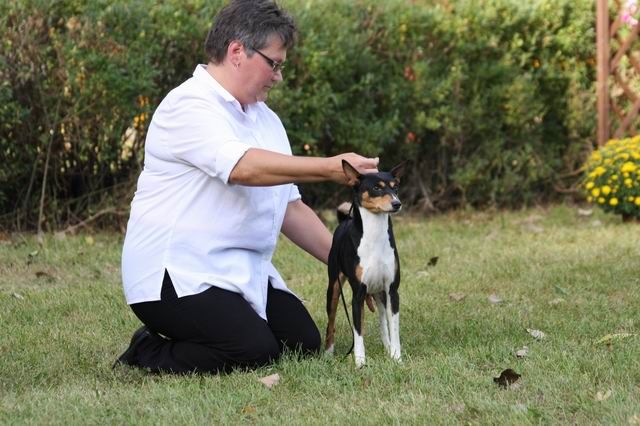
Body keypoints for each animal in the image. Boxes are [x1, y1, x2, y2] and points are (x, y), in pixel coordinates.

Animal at [325, 160, 405, 367]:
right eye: (377, 188)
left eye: (396, 187)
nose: (397, 203)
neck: (374, 236)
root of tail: (344, 221)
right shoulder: (358, 293)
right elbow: (358, 331)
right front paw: (360, 362)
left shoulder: (392, 290)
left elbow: (393, 329)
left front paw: (396, 357)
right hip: (334, 288)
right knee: (331, 322)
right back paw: (328, 353)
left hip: (379, 293)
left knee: (382, 322)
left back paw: (387, 348)